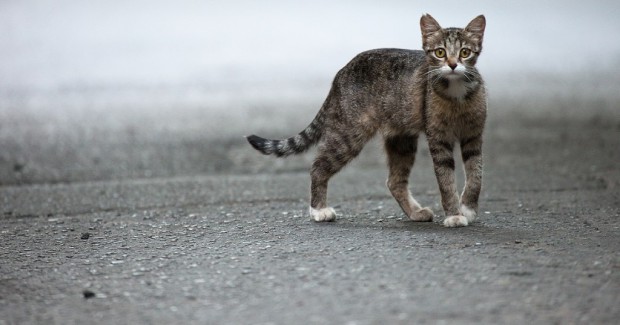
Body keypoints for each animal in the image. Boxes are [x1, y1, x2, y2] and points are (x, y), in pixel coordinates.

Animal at [249, 13, 486, 227]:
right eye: (440, 52)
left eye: (465, 52)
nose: (453, 64)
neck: (457, 94)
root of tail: (340, 73)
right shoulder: (438, 140)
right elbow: (446, 180)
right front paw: (454, 215)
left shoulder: (474, 136)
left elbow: (475, 175)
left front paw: (467, 208)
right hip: (349, 135)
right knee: (317, 167)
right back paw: (319, 210)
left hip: (401, 138)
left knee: (394, 181)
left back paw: (415, 212)